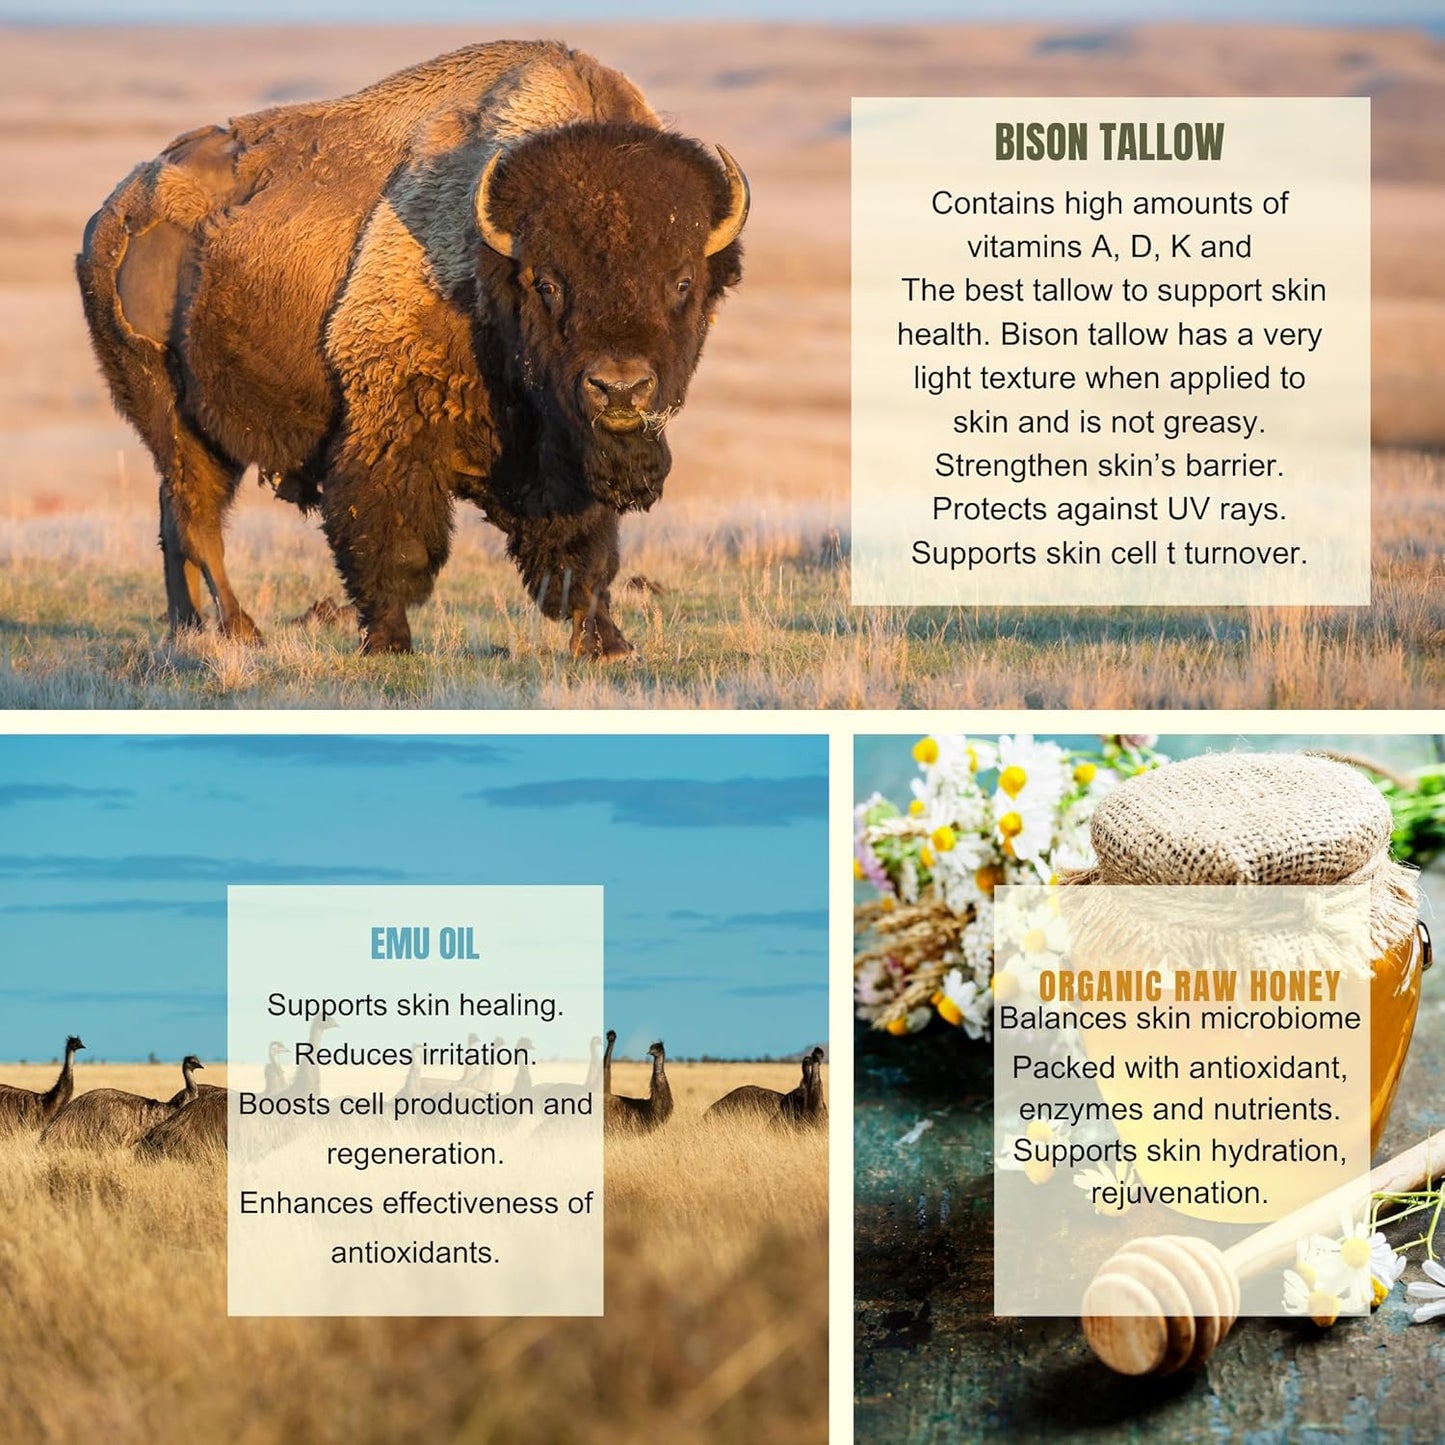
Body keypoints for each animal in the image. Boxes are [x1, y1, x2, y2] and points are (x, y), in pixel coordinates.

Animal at [76, 40, 748, 656]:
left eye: (682, 281)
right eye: (547, 282)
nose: (620, 388)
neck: (489, 267)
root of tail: (112, 214)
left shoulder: (565, 462)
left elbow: (583, 555)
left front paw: (608, 643)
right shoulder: (391, 427)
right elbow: (392, 541)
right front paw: (388, 642)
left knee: (175, 519)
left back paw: (187, 629)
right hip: (171, 416)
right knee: (197, 519)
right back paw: (242, 632)